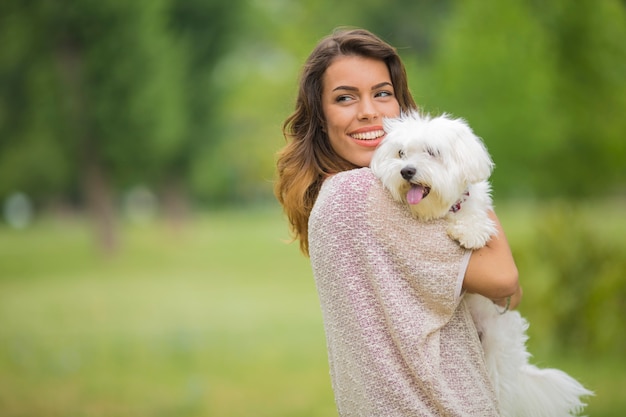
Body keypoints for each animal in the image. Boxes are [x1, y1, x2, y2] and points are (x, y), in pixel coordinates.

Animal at [368, 110, 592, 416]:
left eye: (432, 152)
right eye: (401, 153)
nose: (406, 171)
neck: (444, 210)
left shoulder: (476, 208)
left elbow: (475, 216)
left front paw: (469, 231)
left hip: (498, 352)